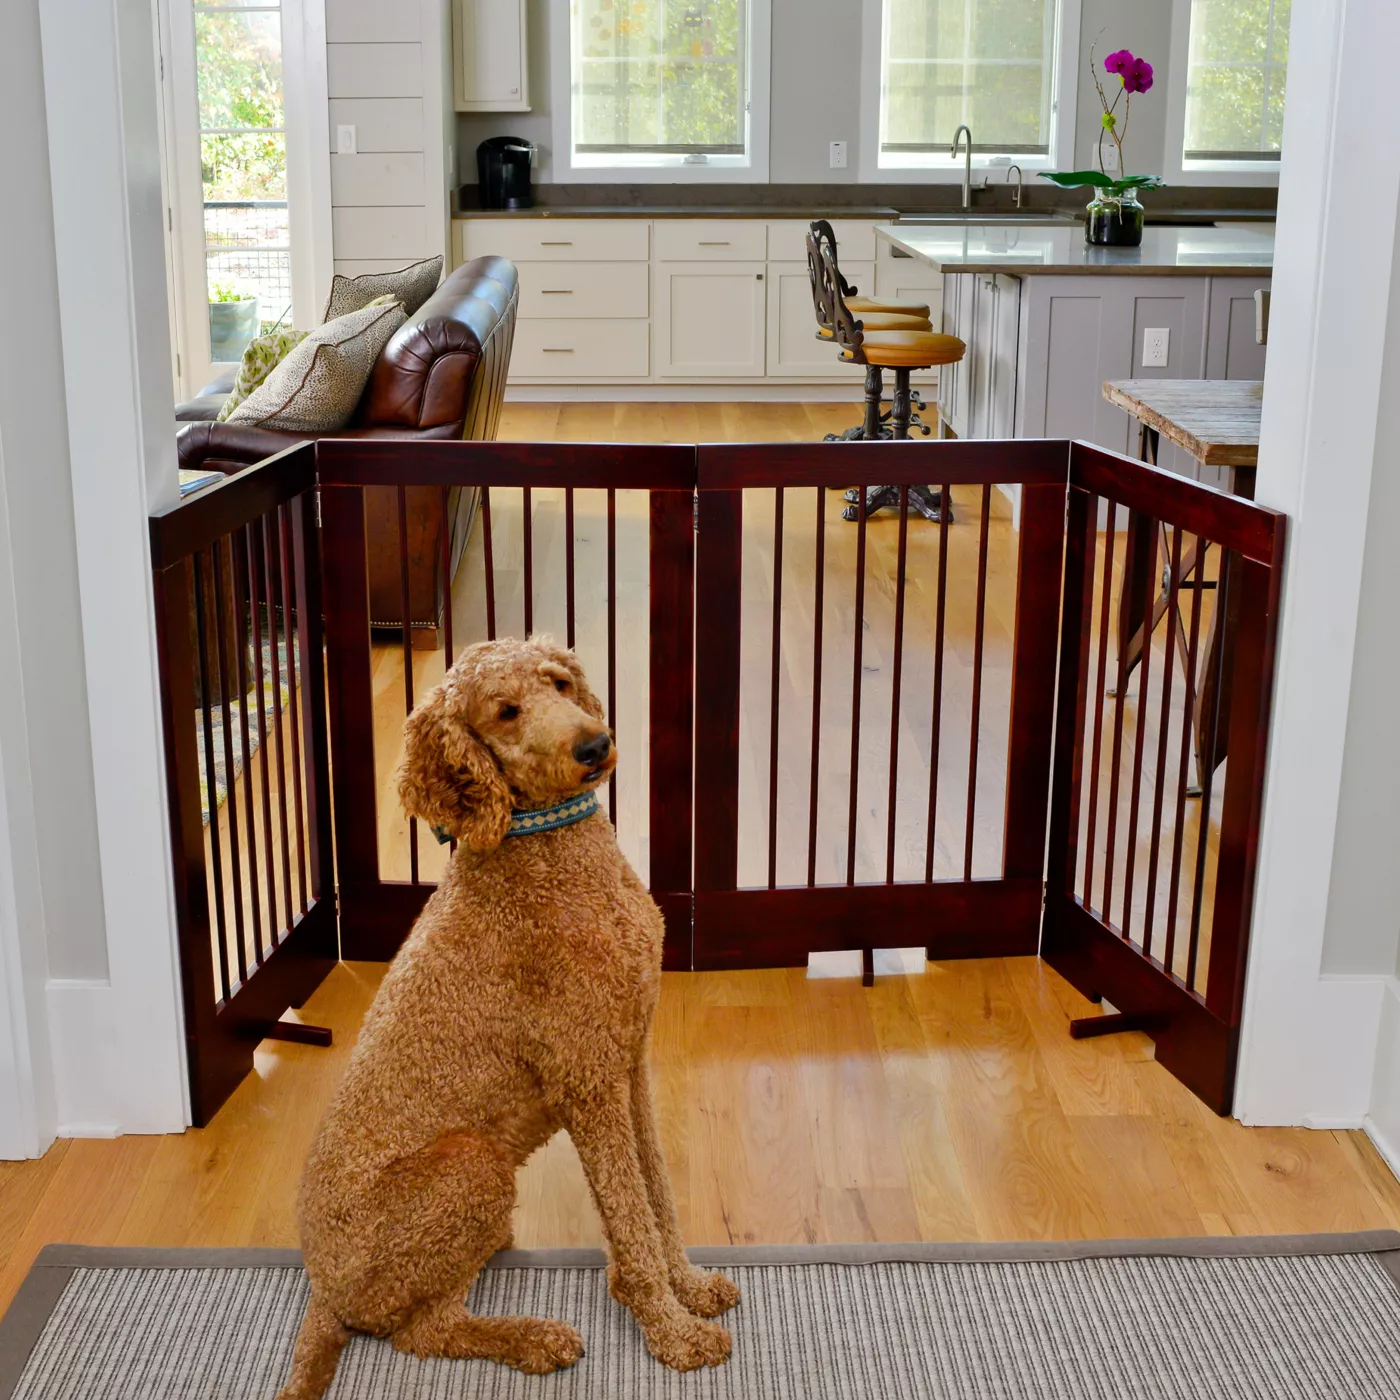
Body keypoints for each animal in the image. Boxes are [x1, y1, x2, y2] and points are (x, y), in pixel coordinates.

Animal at [267, 638, 739, 1400]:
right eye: (506, 712)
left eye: (559, 682)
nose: (594, 744)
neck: (551, 854)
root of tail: (322, 1293)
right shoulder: (586, 1079)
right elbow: (631, 1212)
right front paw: (673, 1333)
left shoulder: (628, 1061)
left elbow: (655, 1191)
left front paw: (688, 1288)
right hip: (473, 1164)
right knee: (422, 1332)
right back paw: (536, 1338)